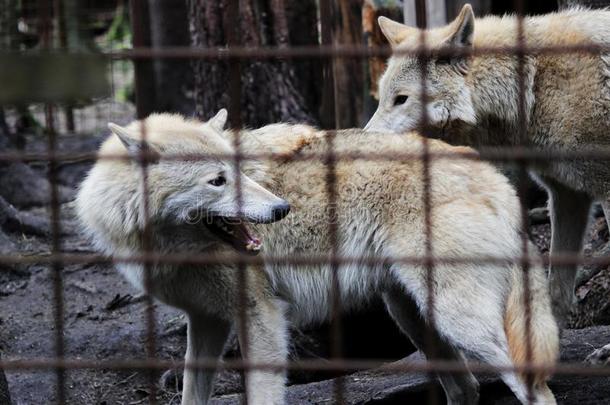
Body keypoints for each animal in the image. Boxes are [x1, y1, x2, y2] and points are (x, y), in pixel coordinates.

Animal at [75, 110, 556, 404]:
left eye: (239, 171)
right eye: (217, 180)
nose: (281, 209)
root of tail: (494, 176)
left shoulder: (261, 316)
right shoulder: (206, 320)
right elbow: (192, 393)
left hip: (459, 321)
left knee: (533, 387)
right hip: (415, 318)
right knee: (467, 388)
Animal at [364, 3, 608, 332]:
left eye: (401, 99)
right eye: (382, 99)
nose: (365, 142)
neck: (532, 87)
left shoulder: (603, 188)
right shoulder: (568, 195)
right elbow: (557, 288)